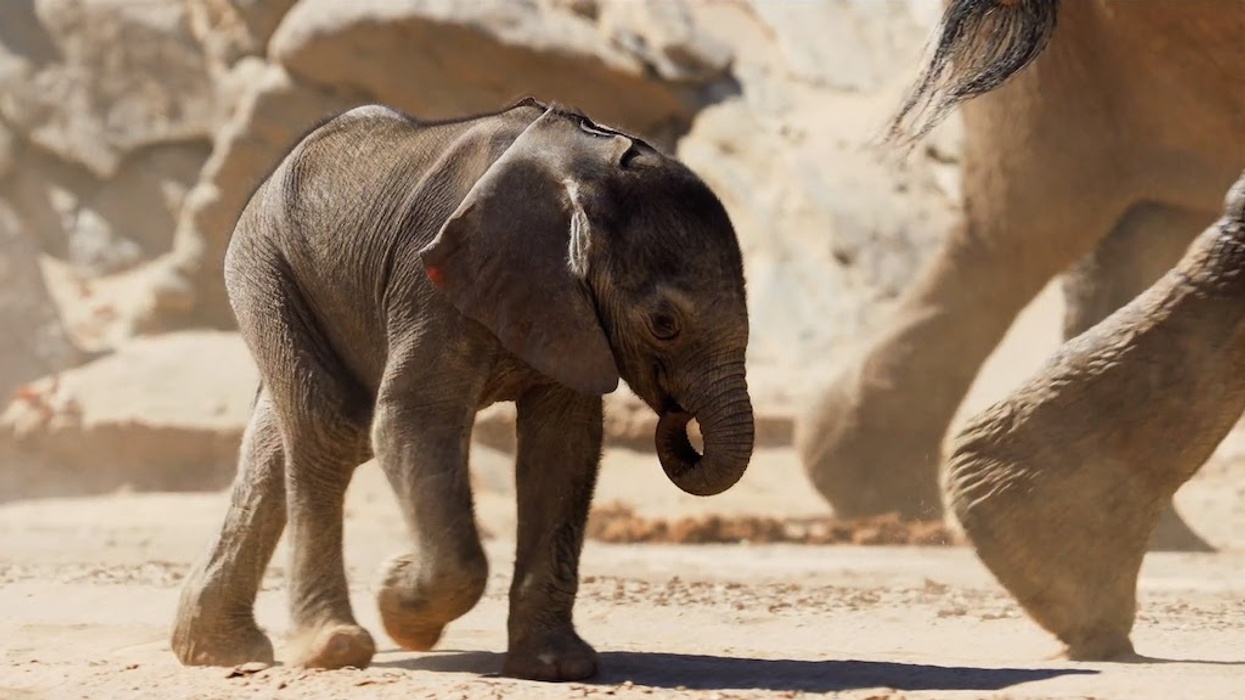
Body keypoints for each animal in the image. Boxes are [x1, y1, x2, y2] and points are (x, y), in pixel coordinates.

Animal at [170, 97, 754, 681]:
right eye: (664, 324)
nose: (676, 415)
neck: (583, 169)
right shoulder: (431, 278)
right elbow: (411, 418)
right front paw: (397, 599)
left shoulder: (565, 304)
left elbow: (563, 447)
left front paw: (556, 666)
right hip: (267, 265)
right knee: (331, 428)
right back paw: (331, 649)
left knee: (286, 440)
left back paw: (219, 651)